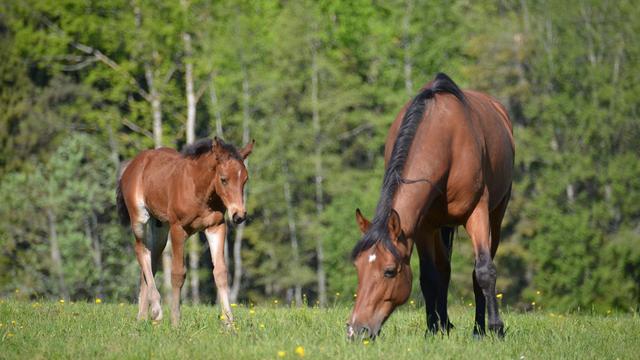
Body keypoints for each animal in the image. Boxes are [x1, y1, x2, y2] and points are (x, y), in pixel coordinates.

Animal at [116, 137, 254, 326]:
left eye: (245, 180)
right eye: (224, 179)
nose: (239, 215)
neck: (200, 191)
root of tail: (132, 164)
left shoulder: (216, 227)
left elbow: (220, 272)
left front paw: (229, 323)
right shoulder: (178, 229)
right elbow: (177, 273)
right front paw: (175, 321)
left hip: (160, 227)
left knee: (152, 258)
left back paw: (143, 316)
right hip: (140, 218)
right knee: (141, 251)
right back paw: (156, 310)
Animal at [348, 74, 512, 340]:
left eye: (389, 271)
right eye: (358, 267)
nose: (356, 330)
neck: (446, 142)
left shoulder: (477, 212)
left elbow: (484, 271)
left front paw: (495, 328)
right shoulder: (422, 225)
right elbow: (429, 277)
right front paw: (433, 328)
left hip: (496, 215)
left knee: (480, 269)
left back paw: (479, 328)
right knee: (443, 270)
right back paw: (445, 324)